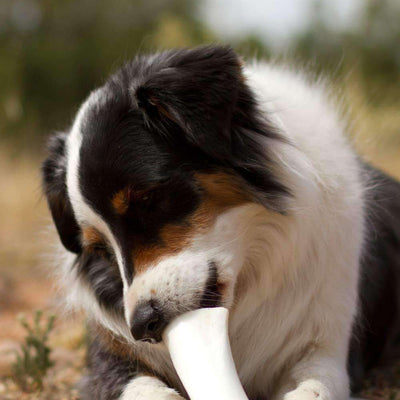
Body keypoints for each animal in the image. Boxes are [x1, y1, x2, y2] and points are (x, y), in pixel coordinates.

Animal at [41, 46, 400, 400]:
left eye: (146, 200)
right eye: (101, 249)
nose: (142, 327)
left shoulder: (326, 346)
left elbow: (313, 389)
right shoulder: (108, 358)